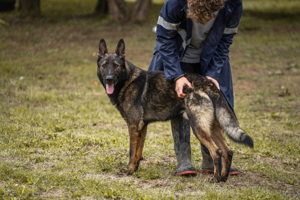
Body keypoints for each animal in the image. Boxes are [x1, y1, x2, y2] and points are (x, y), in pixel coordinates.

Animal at [96, 38, 253, 183]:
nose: (109, 79)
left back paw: (215, 178)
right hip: (212, 128)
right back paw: (223, 177)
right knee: (227, 151)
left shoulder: (133, 127)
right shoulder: (142, 128)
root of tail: (207, 83)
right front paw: (135, 169)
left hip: (198, 128)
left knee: (217, 151)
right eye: (104, 66)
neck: (127, 80)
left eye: (115, 66)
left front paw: (128, 170)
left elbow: (131, 152)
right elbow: (138, 152)